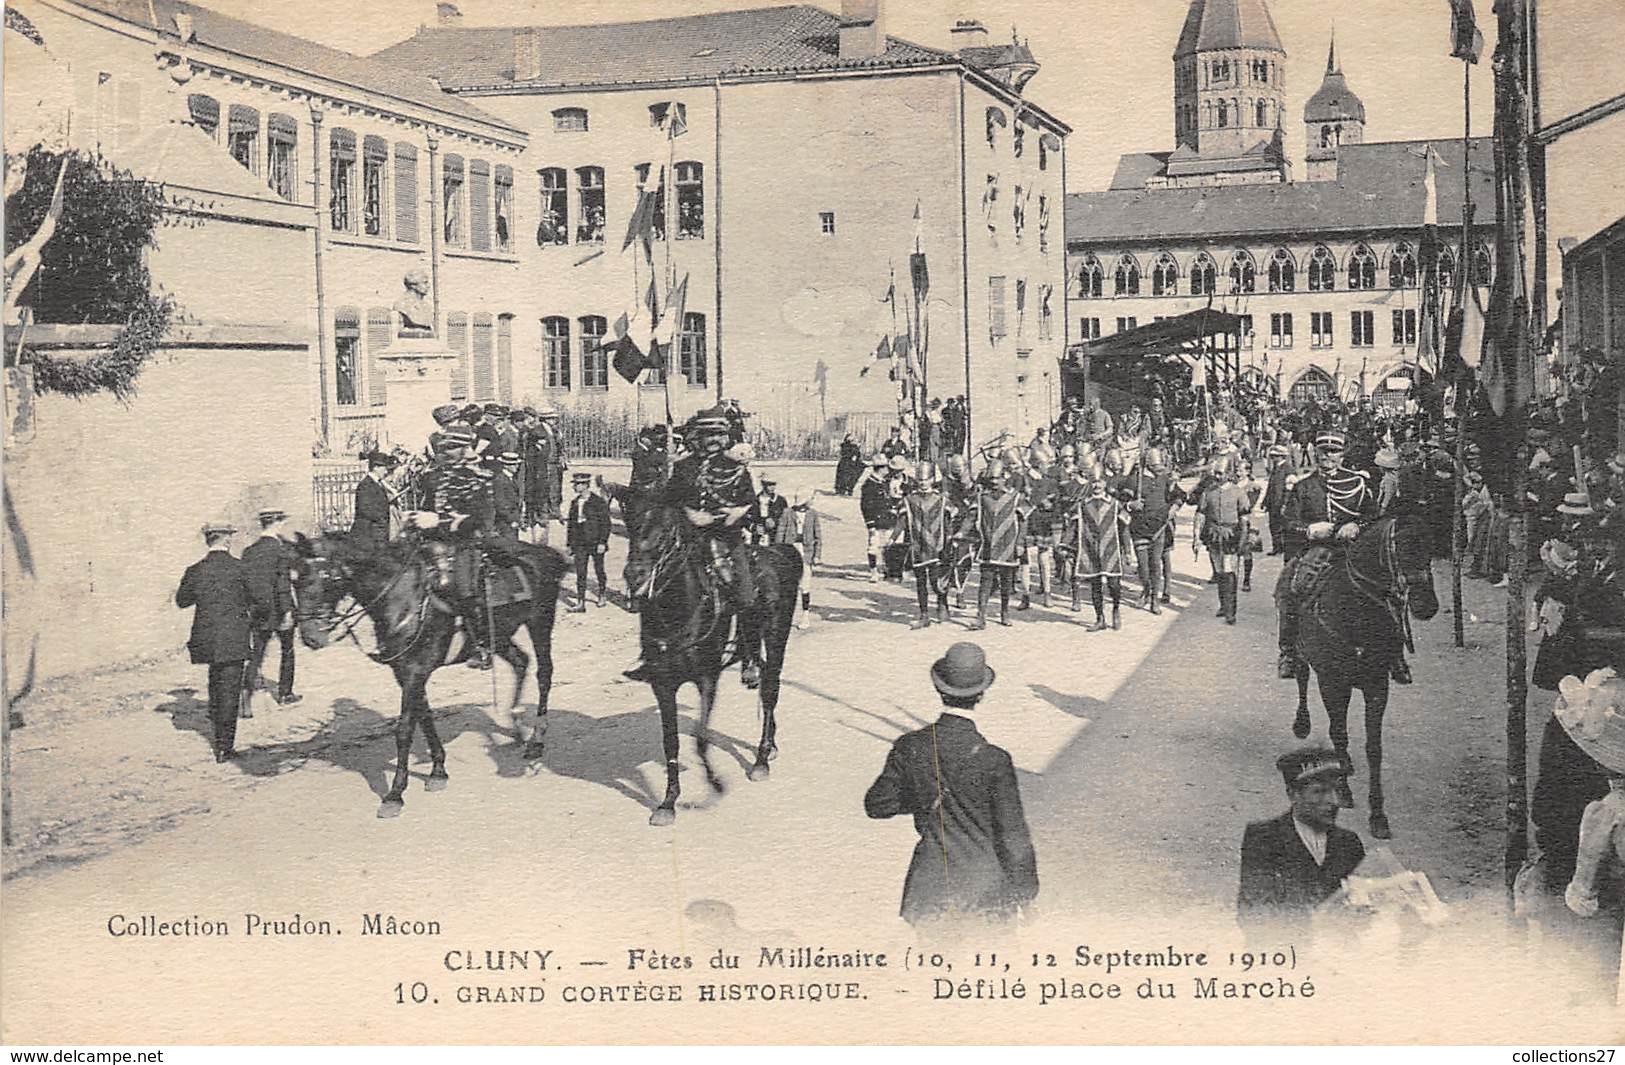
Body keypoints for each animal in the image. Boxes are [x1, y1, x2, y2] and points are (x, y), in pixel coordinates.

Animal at [290, 536, 565, 819]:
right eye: (295, 581)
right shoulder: (406, 673)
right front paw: (438, 771)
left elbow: (404, 730)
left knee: (544, 674)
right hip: (499, 637)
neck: (400, 599)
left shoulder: (414, 673)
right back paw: (517, 726)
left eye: (322, 578)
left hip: (540, 622)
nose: (310, 637)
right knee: (521, 662)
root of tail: (546, 552)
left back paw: (535, 741)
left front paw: (395, 795)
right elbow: (425, 719)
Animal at [617, 500, 802, 825]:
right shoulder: (663, 684)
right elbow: (671, 742)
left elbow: (700, 738)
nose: (635, 575)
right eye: (632, 525)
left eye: (667, 532)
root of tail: (780, 552)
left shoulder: (707, 679)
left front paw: (715, 786)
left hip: (777, 639)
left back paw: (761, 759)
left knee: (770, 692)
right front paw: (667, 803)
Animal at [1287, 513, 1443, 838]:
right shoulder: (1333, 683)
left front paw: (1378, 815)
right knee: (1301, 677)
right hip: (1301, 652)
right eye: (1402, 547)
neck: (1355, 613)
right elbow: (1339, 733)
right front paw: (1343, 790)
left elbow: (1374, 748)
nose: (1427, 606)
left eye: (1431, 547)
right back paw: (1302, 723)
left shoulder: (1377, 686)